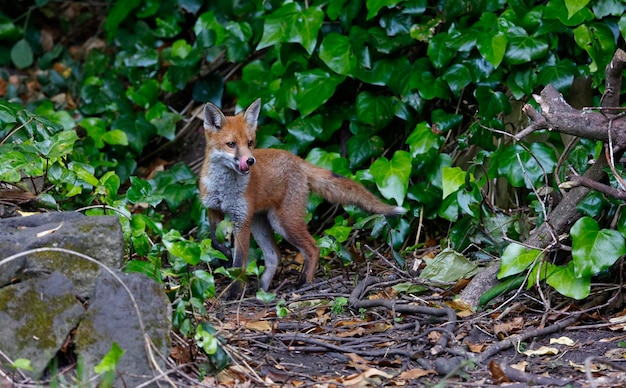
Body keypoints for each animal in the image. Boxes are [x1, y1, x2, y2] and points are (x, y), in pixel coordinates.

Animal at [200, 98, 404, 292]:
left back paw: (303, 282)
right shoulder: (213, 209)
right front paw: (224, 254)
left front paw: (234, 293)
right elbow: (214, 240)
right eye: (231, 144)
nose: (250, 161)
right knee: (274, 256)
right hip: (261, 222)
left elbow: (239, 264)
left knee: (313, 248)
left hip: (283, 222)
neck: (223, 189)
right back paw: (262, 291)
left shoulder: (241, 220)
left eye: (249, 143)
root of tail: (296, 159)